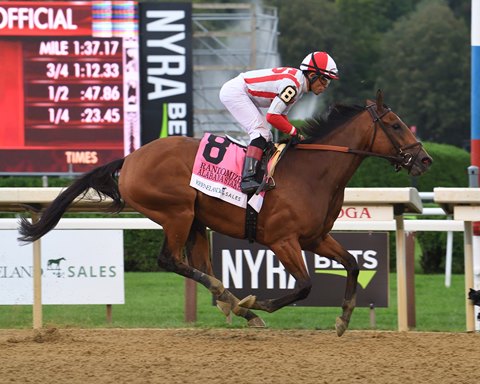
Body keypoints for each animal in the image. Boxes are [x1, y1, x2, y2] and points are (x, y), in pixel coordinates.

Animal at [17, 91, 432, 336]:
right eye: (395, 125)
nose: (425, 159)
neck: (313, 172)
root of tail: (131, 158)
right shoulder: (282, 240)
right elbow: (304, 286)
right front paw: (258, 302)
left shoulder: (315, 237)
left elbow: (352, 264)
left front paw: (343, 318)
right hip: (177, 213)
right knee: (171, 260)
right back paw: (234, 301)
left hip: (196, 222)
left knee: (197, 264)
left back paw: (231, 302)